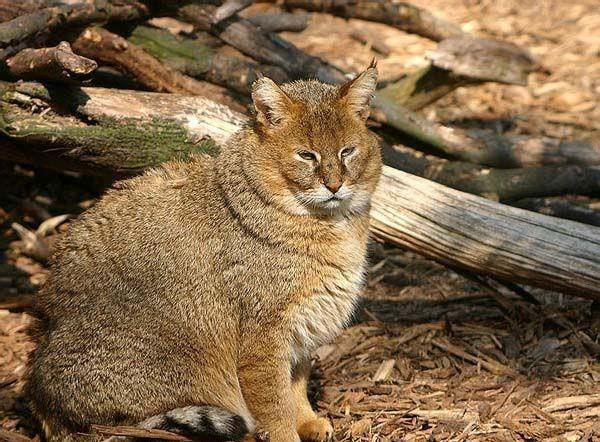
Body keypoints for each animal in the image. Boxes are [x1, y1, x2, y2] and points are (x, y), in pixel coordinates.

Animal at [27, 62, 380, 442]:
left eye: (347, 152)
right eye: (306, 155)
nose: (334, 185)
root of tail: (40, 396)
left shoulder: (303, 331)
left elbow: (295, 385)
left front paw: (308, 420)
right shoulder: (264, 338)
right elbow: (275, 406)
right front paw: (289, 433)